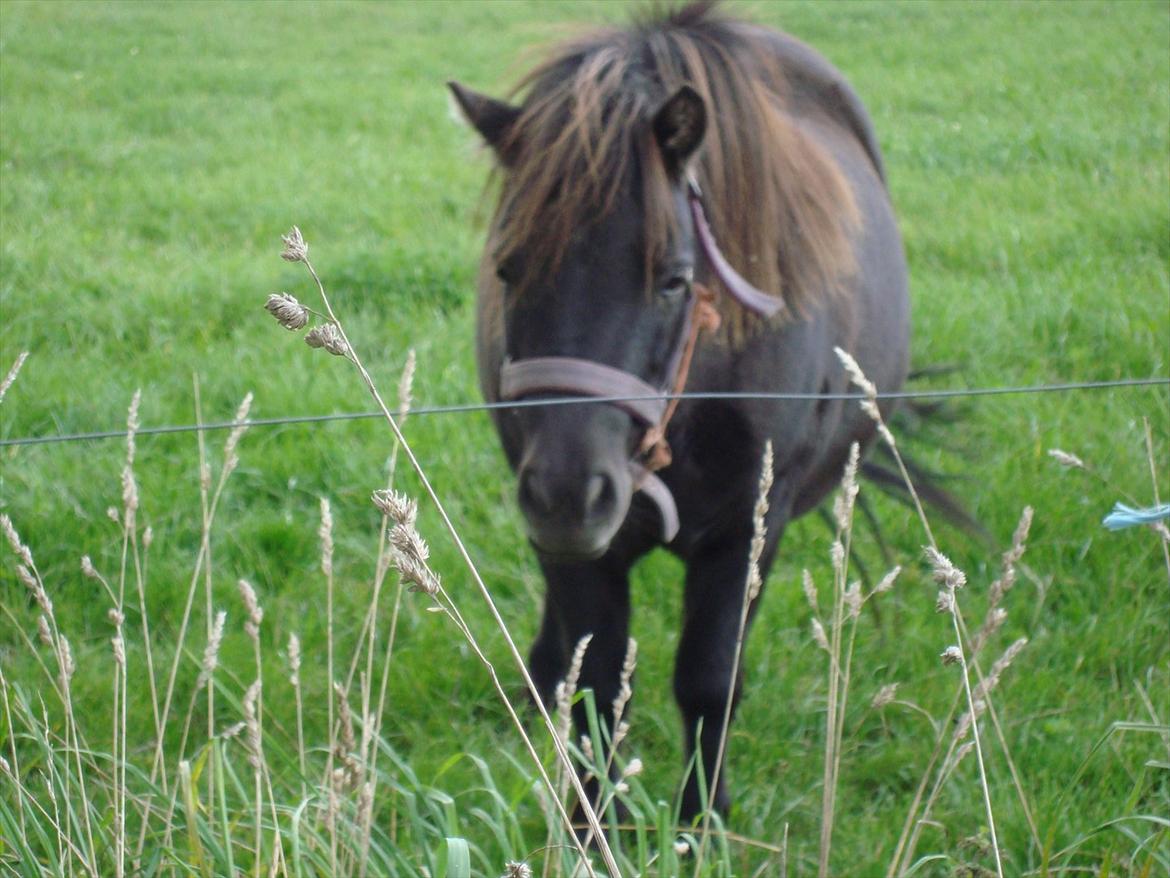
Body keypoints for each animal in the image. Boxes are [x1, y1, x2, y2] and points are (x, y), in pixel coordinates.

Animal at [446, 1, 903, 824]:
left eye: (674, 279)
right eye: (507, 268)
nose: (569, 493)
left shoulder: (748, 532)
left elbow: (709, 683)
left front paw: (700, 825)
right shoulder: (575, 544)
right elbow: (595, 686)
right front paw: (592, 827)